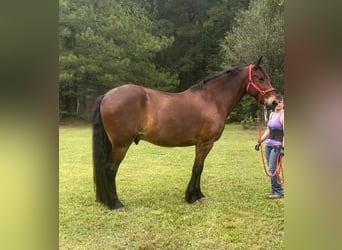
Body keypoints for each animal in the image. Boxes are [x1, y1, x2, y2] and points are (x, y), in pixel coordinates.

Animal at [92, 56, 276, 209]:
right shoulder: (205, 143)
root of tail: (107, 95)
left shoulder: (201, 144)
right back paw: (115, 203)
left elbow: (199, 168)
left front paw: (198, 194)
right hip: (121, 145)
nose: (274, 102)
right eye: (261, 78)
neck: (212, 99)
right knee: (110, 169)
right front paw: (191, 197)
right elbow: (197, 168)